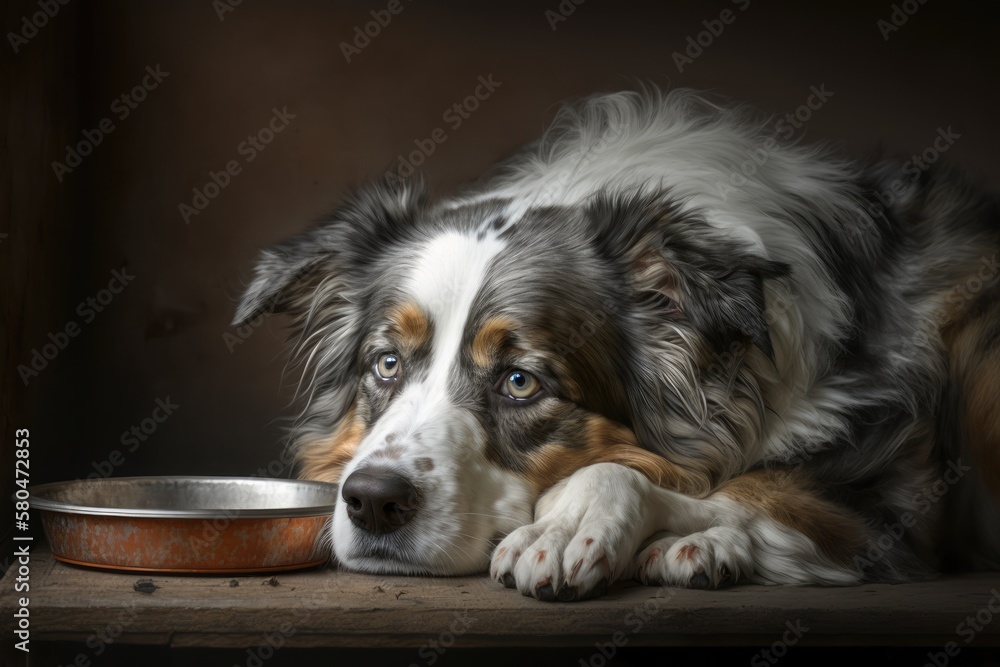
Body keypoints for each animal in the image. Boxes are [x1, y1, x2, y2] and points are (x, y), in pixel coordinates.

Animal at [236, 86, 1000, 604]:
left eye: (521, 381)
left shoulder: (890, 485)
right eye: (386, 363)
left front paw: (567, 526)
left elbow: (745, 482)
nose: (371, 502)